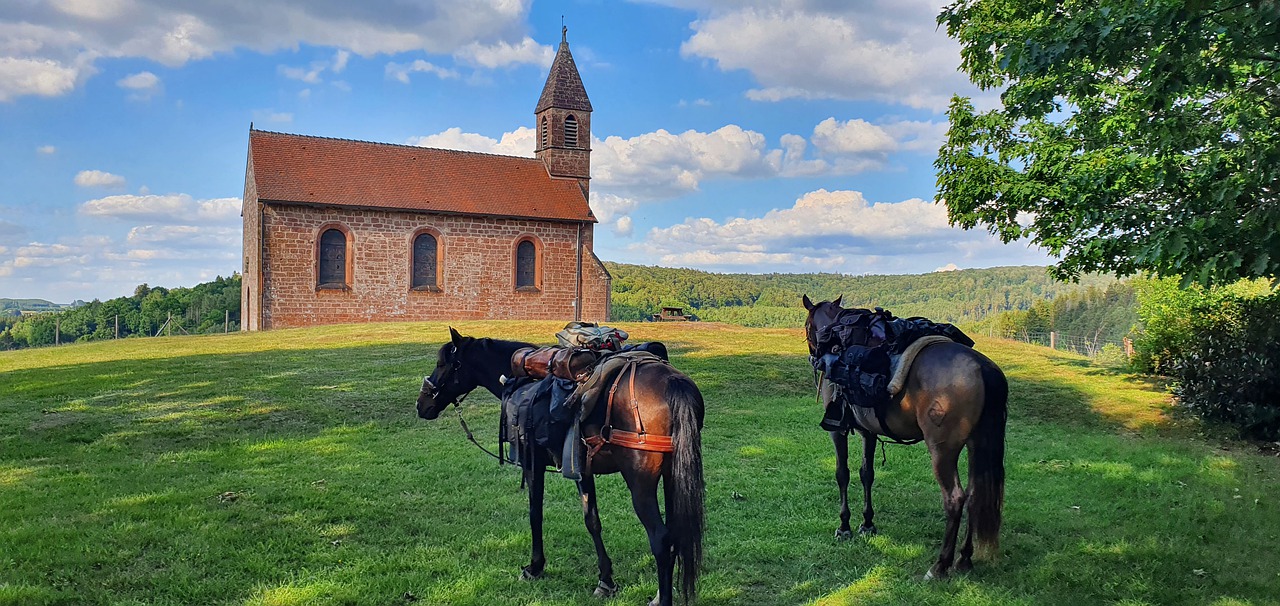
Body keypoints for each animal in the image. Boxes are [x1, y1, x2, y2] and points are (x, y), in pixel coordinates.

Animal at [417, 327, 701, 602]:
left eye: (442, 363)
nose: (423, 404)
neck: (520, 382)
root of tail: (672, 383)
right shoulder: (581, 470)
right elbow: (592, 520)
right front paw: (605, 580)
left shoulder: (533, 464)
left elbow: (535, 513)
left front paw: (534, 567)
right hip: (672, 477)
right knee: (675, 534)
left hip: (640, 483)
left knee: (660, 539)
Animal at [803, 294, 1003, 579]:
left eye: (807, 326)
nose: (815, 356)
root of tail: (982, 368)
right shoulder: (869, 432)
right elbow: (867, 474)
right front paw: (867, 523)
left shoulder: (837, 431)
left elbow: (843, 474)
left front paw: (844, 527)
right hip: (978, 445)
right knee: (975, 496)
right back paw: (964, 558)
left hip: (942, 450)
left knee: (955, 499)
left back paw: (940, 566)